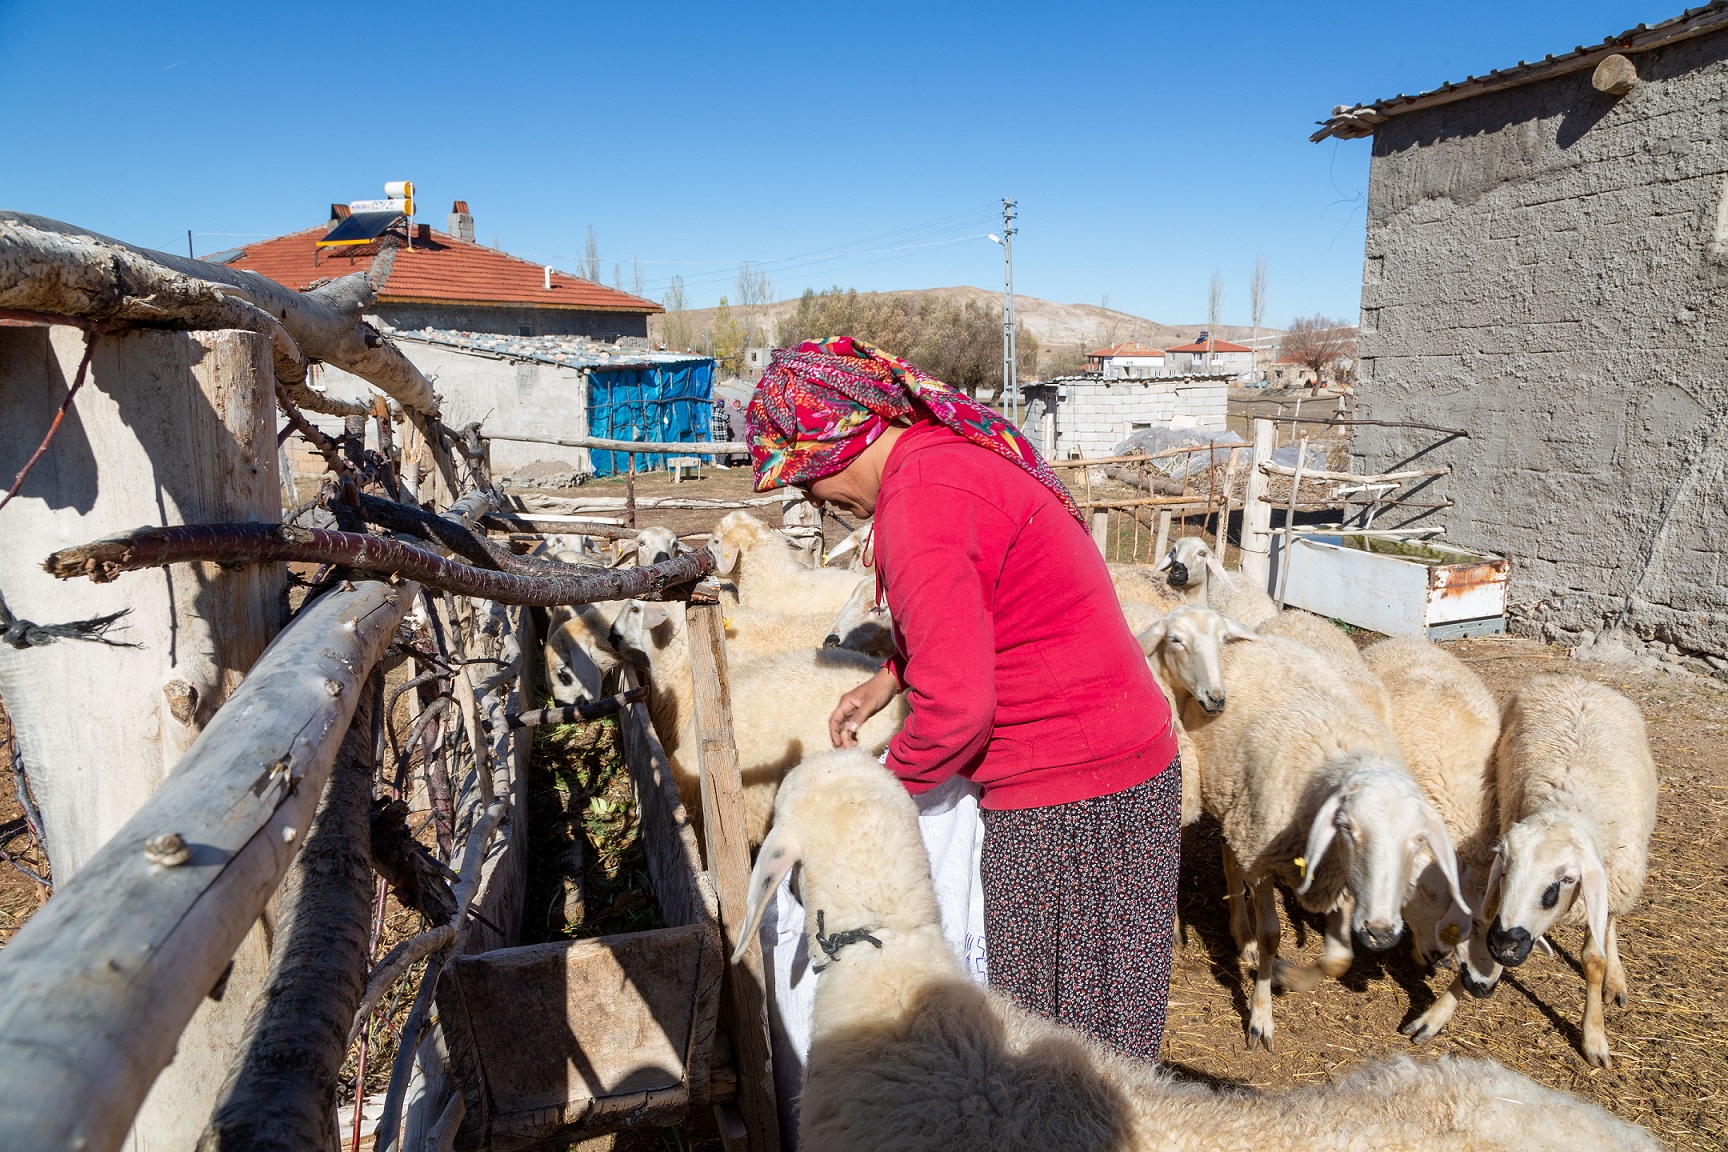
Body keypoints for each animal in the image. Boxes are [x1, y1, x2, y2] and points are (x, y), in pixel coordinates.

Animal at [1181, 635, 1465, 1050]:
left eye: (1417, 840)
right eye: (1347, 828)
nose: (1381, 932)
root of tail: (1257, 638)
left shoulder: (1341, 882)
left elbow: (1339, 959)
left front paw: (1289, 976)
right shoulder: (1264, 860)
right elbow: (1272, 936)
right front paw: (1261, 1015)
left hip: (1235, 800)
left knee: (1230, 854)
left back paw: (1243, 937)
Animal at [1479, 670, 1651, 1070]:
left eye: (1568, 878)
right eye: (1504, 862)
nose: (1503, 943)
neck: (1569, 805)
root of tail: (1578, 680)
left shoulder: (1605, 885)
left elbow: (1594, 960)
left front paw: (1594, 1037)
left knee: (1611, 922)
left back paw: (1616, 979)